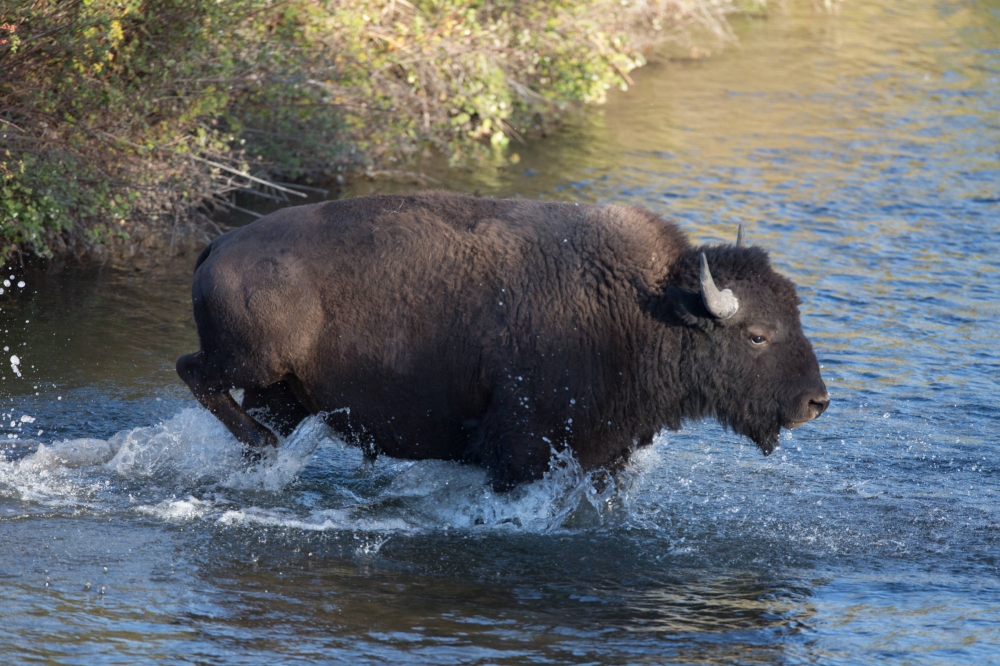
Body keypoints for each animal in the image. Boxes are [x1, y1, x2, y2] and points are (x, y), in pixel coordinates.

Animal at [178, 191, 828, 488]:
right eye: (758, 336)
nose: (816, 402)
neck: (641, 306)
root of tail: (219, 245)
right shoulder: (522, 447)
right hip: (251, 363)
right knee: (194, 373)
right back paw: (261, 447)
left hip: (282, 390)